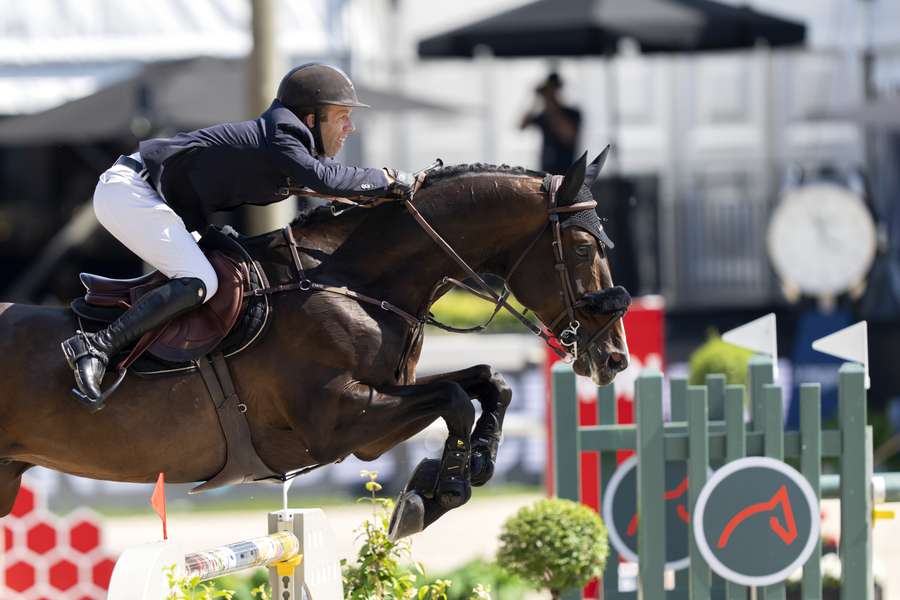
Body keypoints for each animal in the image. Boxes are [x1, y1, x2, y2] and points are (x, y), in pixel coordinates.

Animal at [0, 151, 628, 540]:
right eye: (581, 248)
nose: (614, 359)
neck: (351, 281)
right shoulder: (340, 420)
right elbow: (454, 398)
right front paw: (436, 491)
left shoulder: (380, 405)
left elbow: (487, 383)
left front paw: (464, 469)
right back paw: (89, 365)